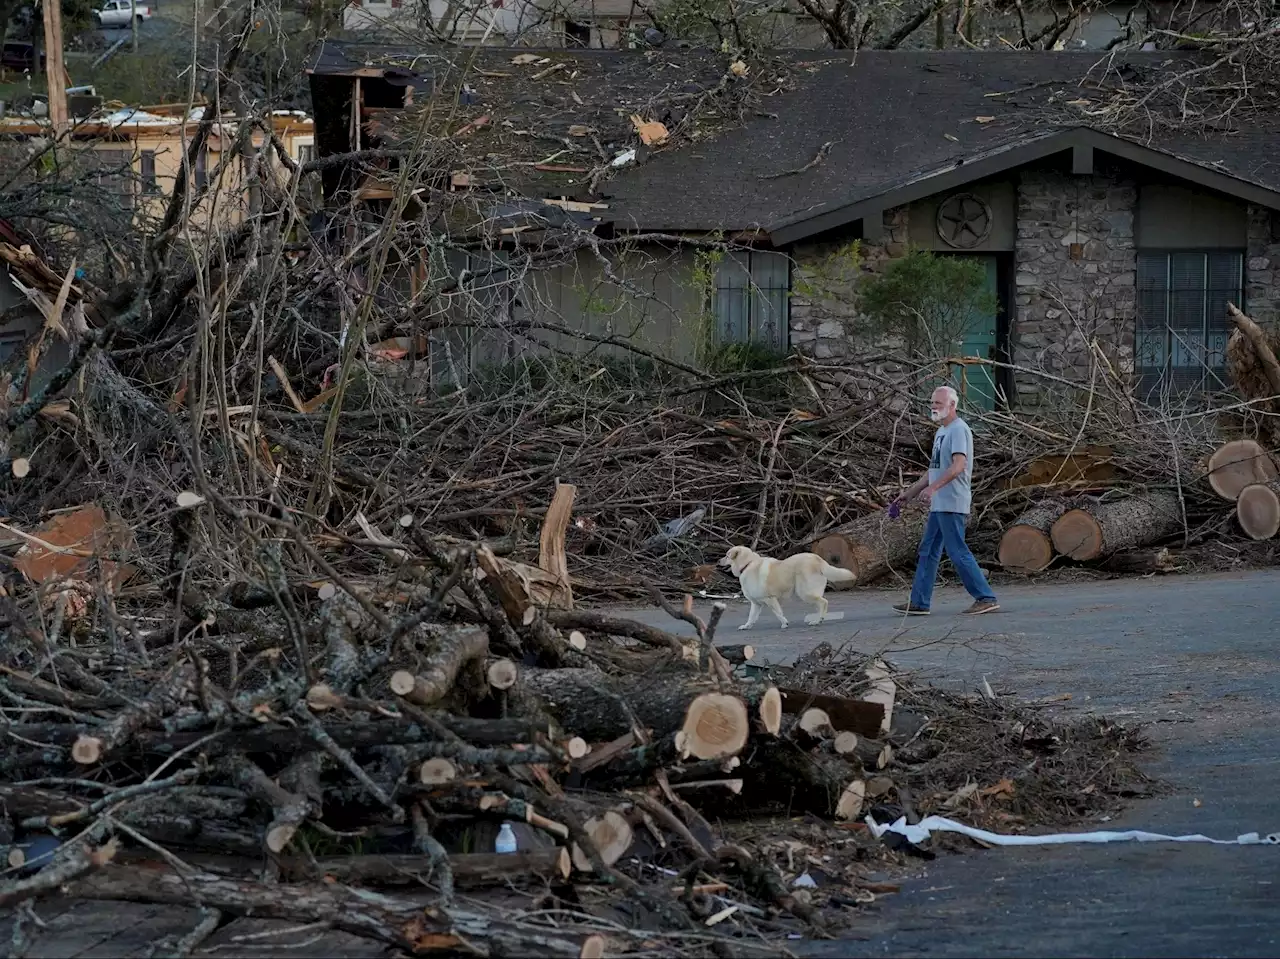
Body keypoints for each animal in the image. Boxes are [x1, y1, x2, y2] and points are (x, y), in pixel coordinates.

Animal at [716, 545, 855, 627]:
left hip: (804, 593)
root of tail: (818, 559)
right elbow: (751, 617)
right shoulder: (756, 604)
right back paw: (818, 619)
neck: (747, 564)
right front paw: (746, 626)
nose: (718, 561)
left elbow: (778, 613)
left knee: (824, 602)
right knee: (820, 605)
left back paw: (817, 620)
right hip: (810, 593)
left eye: (727, 555)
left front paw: (784, 623)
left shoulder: (770, 599)